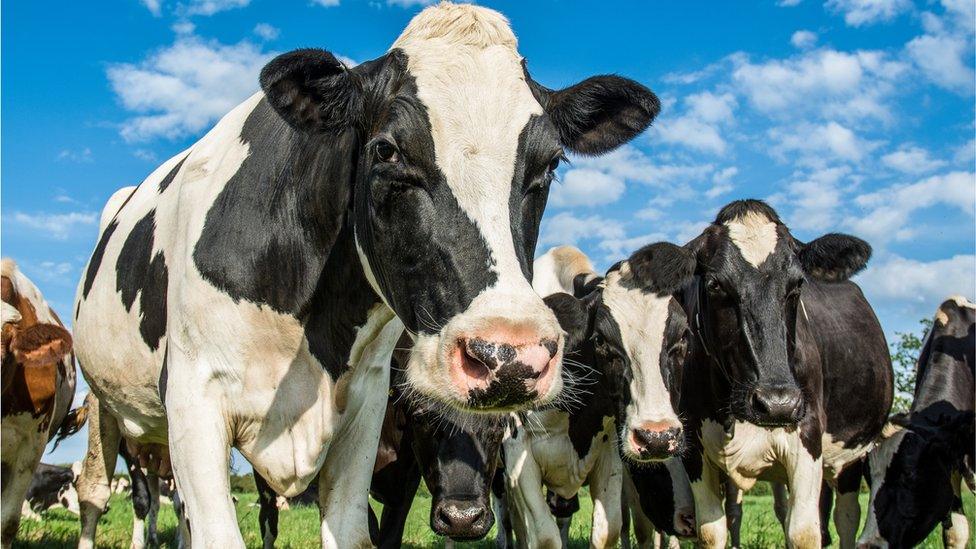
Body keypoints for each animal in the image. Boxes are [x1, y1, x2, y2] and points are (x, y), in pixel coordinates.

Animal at [72, 3, 660, 544]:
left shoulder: (366, 407)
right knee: (110, 492)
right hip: (107, 405)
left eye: (550, 164)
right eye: (387, 150)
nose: (509, 357)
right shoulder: (194, 397)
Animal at [504, 246, 692, 544]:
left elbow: (608, 530)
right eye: (601, 340)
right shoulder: (517, 453)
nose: (657, 438)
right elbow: (544, 536)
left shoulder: (609, 453)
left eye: (683, 337)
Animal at [680, 200, 892, 548]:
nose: (777, 402)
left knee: (845, 517)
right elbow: (711, 532)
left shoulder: (808, 435)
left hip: (849, 456)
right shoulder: (694, 448)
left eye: (797, 284)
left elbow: (804, 532)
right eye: (714, 284)